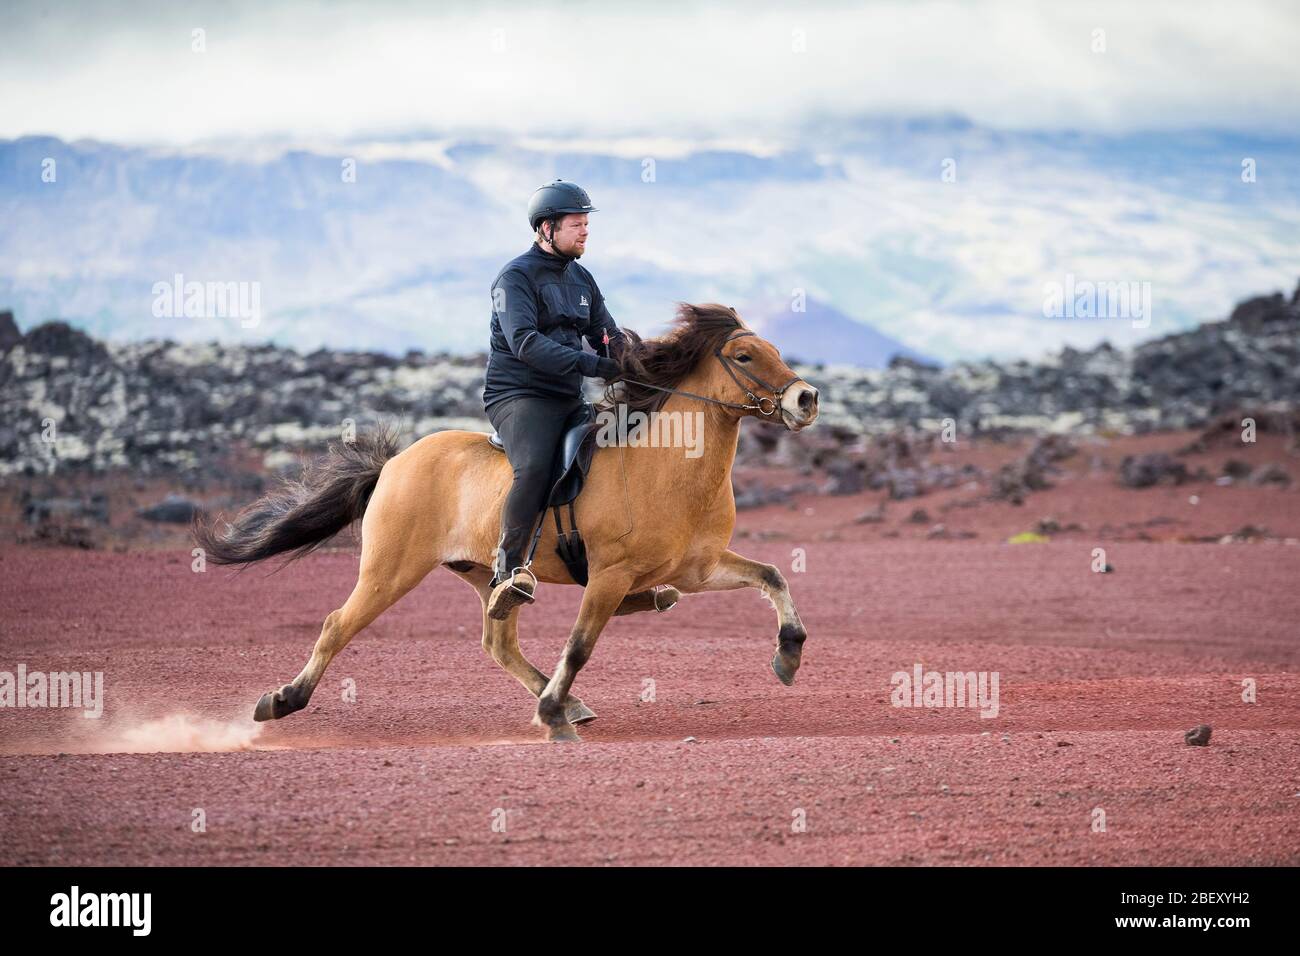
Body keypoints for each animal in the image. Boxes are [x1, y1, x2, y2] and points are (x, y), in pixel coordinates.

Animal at [189, 303, 821, 743]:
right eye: (744, 357)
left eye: (774, 348)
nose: (806, 399)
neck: (667, 466)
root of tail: (393, 463)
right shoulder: (610, 577)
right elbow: (580, 645)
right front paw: (550, 716)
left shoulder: (696, 568)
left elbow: (772, 576)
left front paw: (788, 655)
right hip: (389, 572)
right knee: (335, 625)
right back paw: (282, 700)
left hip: (486, 576)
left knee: (497, 640)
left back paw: (570, 702)